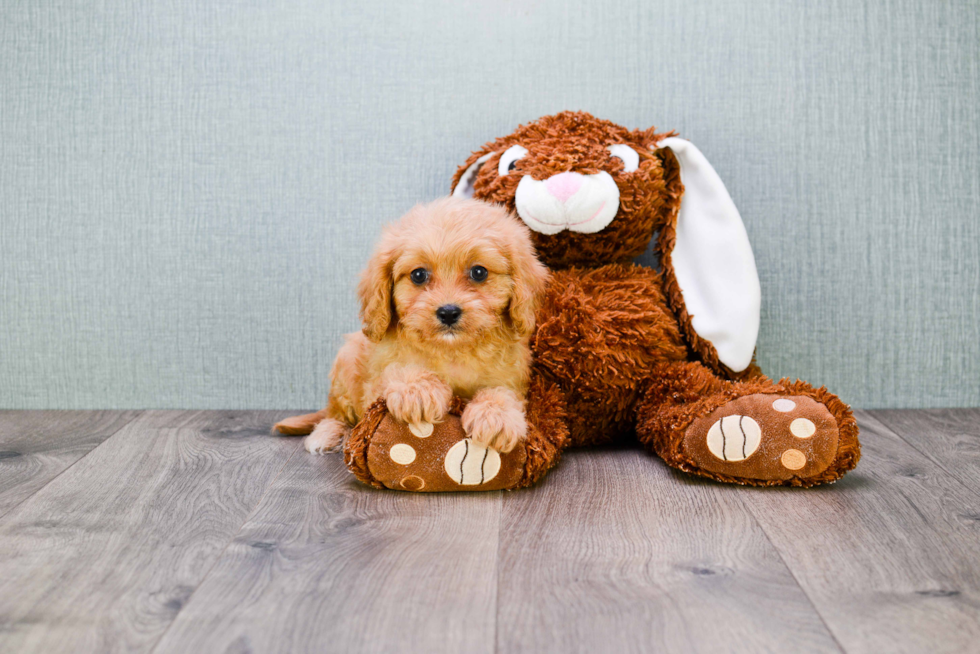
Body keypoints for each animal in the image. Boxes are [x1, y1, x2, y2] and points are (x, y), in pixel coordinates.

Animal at [276, 197, 552, 458]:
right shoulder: (375, 382)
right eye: (418, 275)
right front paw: (418, 389)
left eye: (479, 272)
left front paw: (495, 415)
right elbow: (396, 371)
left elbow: (502, 392)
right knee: (336, 413)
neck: (452, 350)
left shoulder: (512, 378)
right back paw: (327, 434)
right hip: (346, 362)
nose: (448, 312)